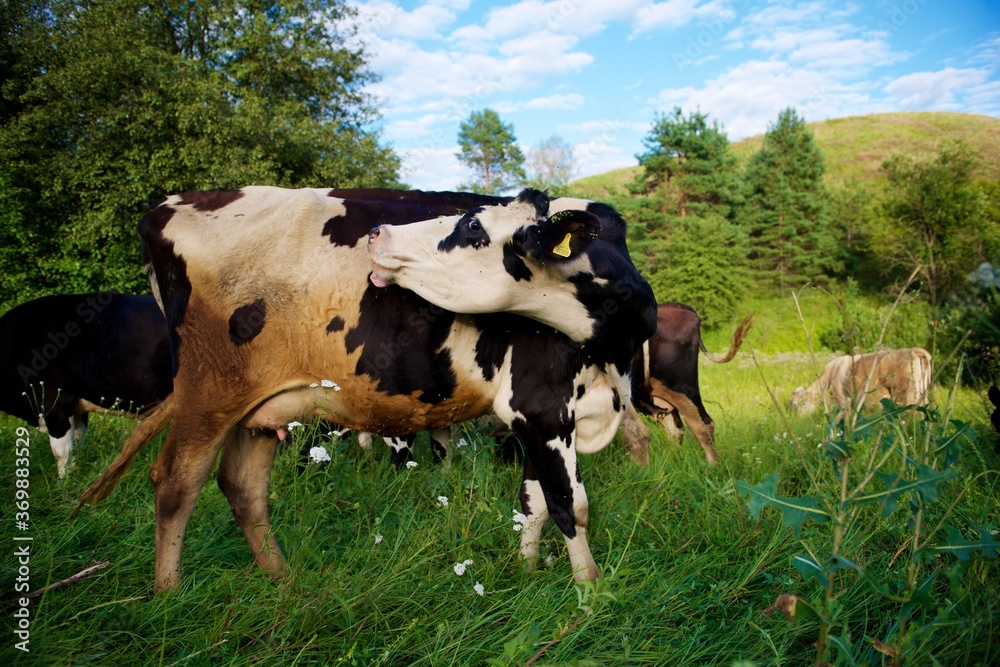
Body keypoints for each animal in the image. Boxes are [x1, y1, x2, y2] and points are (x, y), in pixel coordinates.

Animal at [0, 292, 172, 476]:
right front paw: (76, 474)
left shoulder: (56, 403)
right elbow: (77, 442)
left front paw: (63, 481)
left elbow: (61, 452)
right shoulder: (77, 407)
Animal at [78, 186, 657, 592]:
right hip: (209, 389)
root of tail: (167, 205)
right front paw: (589, 595)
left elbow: (532, 502)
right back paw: (169, 595)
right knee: (177, 482)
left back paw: (284, 582)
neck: (614, 346)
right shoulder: (540, 405)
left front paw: (530, 572)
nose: (380, 231)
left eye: (471, 223)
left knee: (242, 487)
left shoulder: (539, 418)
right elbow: (568, 504)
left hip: (261, 406)